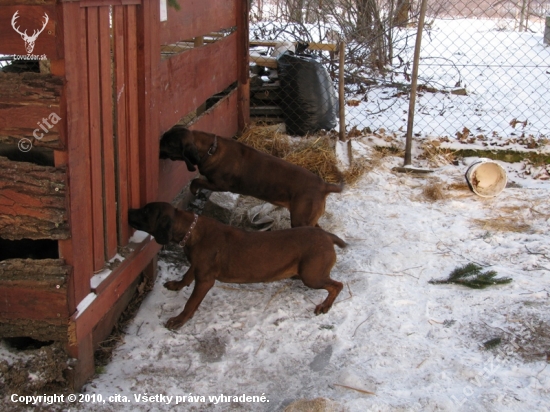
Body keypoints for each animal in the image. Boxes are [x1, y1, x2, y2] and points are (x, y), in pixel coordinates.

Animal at [128, 201, 348, 330]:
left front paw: (179, 320)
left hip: (312, 276)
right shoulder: (198, 267)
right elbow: (187, 275)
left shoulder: (205, 280)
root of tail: (328, 236)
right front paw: (176, 285)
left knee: (337, 285)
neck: (191, 230)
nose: (128, 210)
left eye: (146, 211)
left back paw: (325, 306)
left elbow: (190, 303)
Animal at [157, 126, 342, 227]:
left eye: (168, 144)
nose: (156, 147)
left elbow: (196, 180)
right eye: (164, 137)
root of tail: (324, 185)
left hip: (300, 220)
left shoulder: (219, 184)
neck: (211, 149)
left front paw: (194, 189)